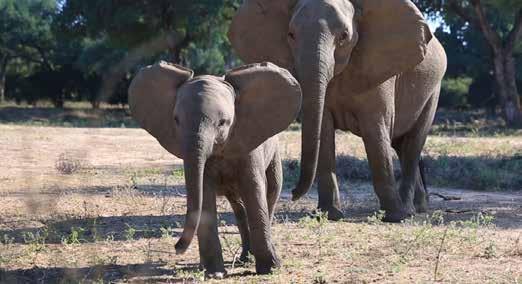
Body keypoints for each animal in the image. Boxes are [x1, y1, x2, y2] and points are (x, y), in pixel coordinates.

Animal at [128, 61, 300, 276]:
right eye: (176, 120)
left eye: (222, 122)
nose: (177, 248)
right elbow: (205, 193)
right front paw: (214, 273)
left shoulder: (249, 145)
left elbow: (254, 190)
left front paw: (270, 270)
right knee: (238, 207)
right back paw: (242, 258)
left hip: (274, 151)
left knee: (271, 192)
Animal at [230, 0, 444, 222]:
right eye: (291, 34)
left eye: (344, 36)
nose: (294, 194)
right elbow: (323, 132)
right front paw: (329, 215)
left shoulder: (380, 71)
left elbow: (376, 131)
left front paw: (394, 217)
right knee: (401, 146)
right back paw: (419, 206)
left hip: (434, 90)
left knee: (413, 143)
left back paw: (408, 211)